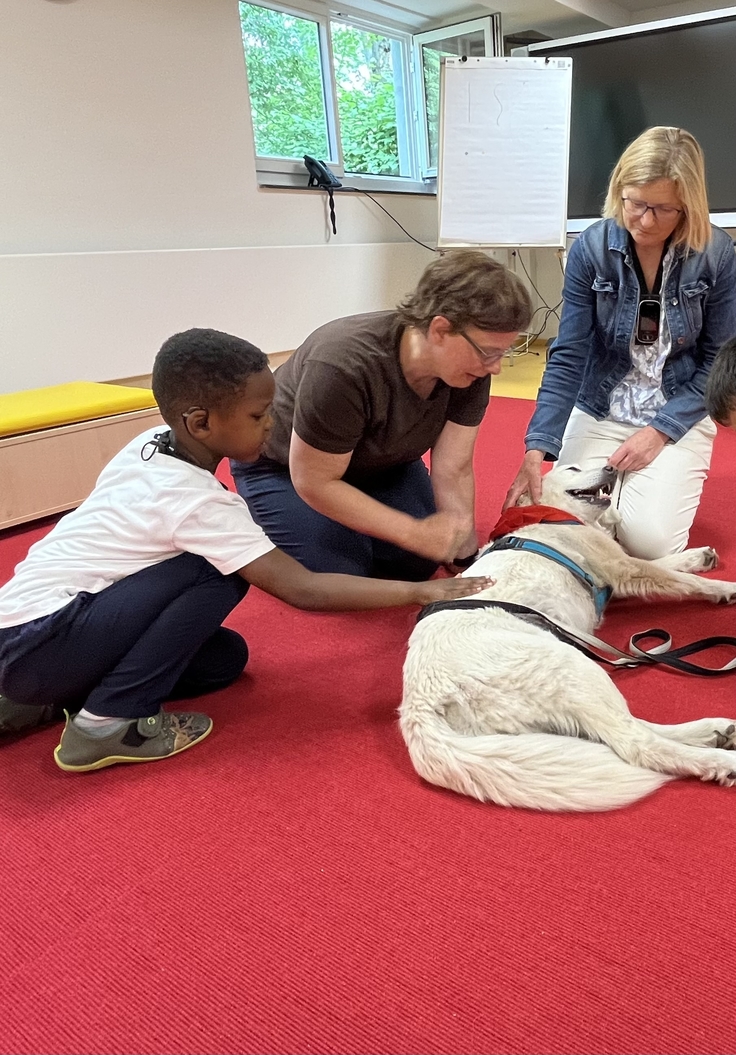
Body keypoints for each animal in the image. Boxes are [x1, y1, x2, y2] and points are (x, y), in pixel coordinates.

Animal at [398, 466, 733, 810]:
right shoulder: (623, 567)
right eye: (573, 468)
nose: (612, 467)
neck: (549, 515)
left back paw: (718, 731)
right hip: (575, 668)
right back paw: (721, 760)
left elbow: (668, 565)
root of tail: (418, 707)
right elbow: (683, 580)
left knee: (624, 729)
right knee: (637, 743)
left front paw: (698, 558)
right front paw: (726, 588)